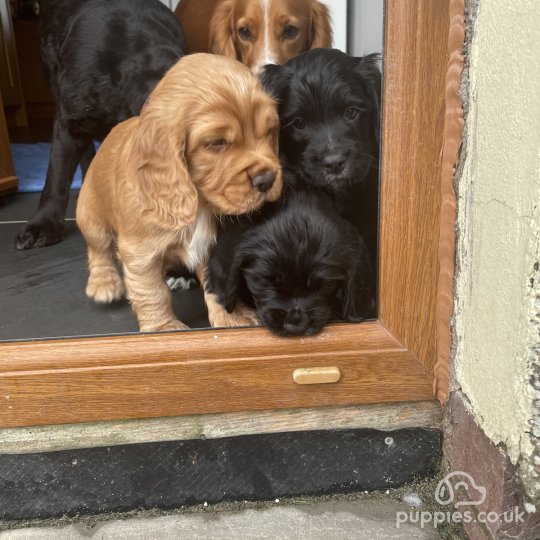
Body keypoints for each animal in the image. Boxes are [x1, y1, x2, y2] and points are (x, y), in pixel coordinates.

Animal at [76, 54, 282, 334]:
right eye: (217, 143)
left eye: (269, 132)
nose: (267, 179)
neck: (200, 203)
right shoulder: (140, 253)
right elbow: (152, 292)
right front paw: (163, 328)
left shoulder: (211, 247)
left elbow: (215, 282)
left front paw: (232, 318)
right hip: (91, 214)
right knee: (98, 249)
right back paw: (104, 283)